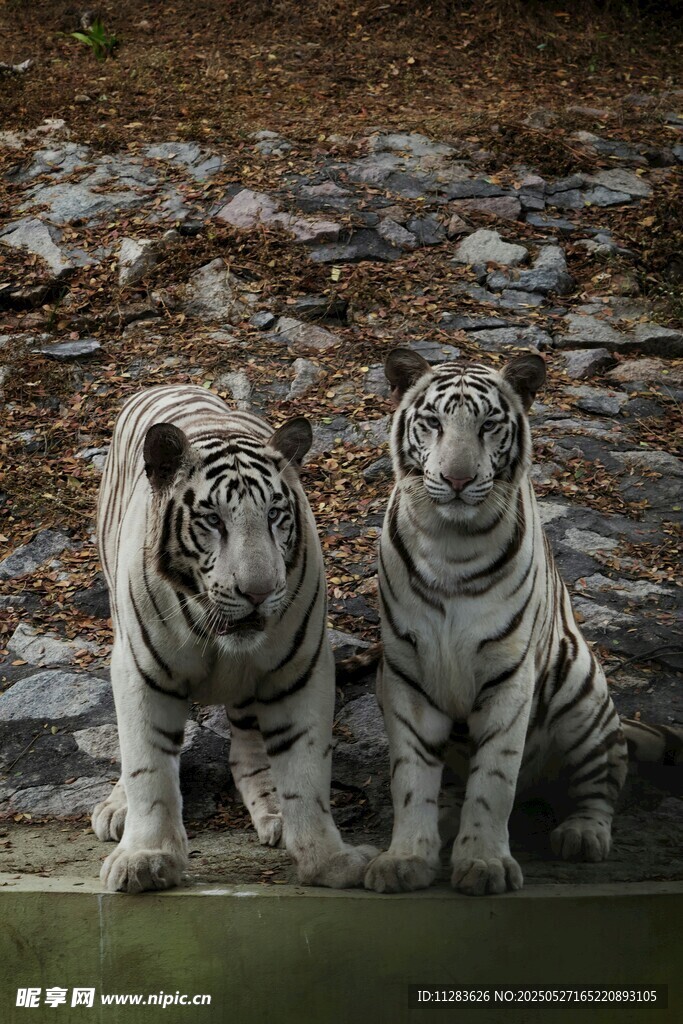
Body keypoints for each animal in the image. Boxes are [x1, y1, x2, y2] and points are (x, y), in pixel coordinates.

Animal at [91, 383, 376, 893]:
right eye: (212, 520)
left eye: (275, 515)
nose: (259, 592)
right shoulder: (141, 670)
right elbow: (148, 767)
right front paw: (147, 857)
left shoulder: (300, 669)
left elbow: (306, 770)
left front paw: (329, 861)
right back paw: (116, 808)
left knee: (248, 747)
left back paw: (273, 810)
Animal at [364, 347, 680, 897]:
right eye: (433, 423)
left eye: (488, 424)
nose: (458, 480)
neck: (450, 542)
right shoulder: (405, 675)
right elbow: (410, 777)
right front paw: (405, 859)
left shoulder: (509, 674)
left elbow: (493, 780)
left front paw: (483, 864)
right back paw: (446, 815)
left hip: (583, 697)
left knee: (602, 782)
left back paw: (582, 834)